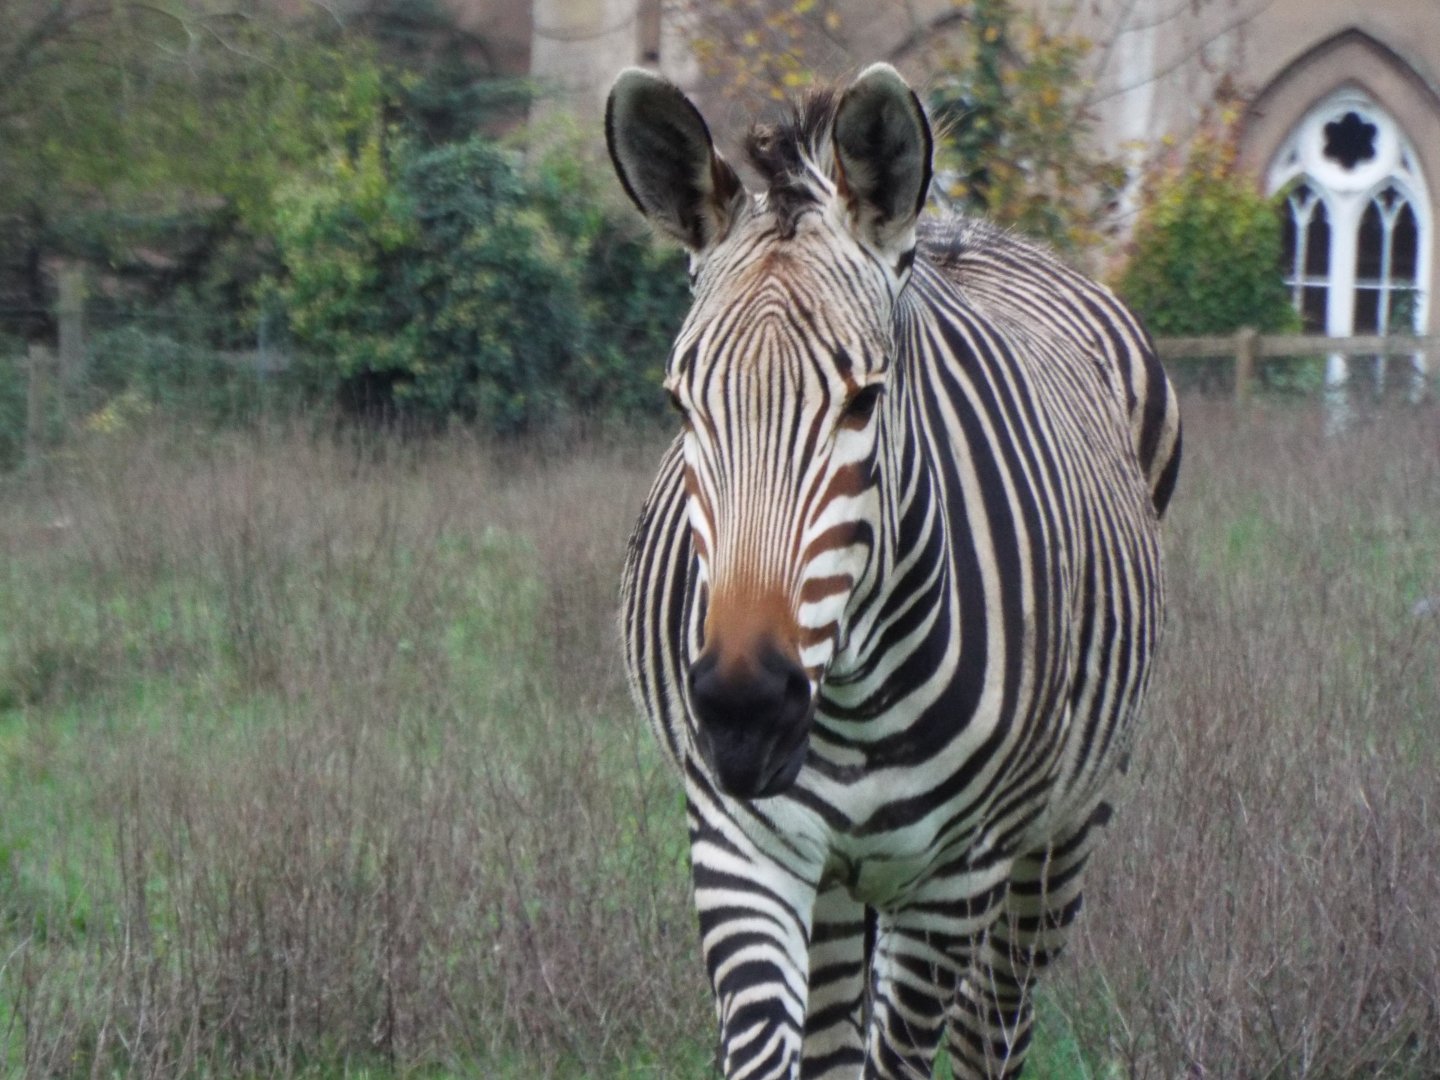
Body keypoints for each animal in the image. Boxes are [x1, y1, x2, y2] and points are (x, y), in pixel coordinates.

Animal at [608, 63, 1180, 1080]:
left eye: (864, 401)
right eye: (680, 405)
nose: (743, 712)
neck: (847, 704)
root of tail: (964, 230)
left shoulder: (952, 879)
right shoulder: (740, 848)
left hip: (1063, 829)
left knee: (995, 1026)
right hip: (840, 884)